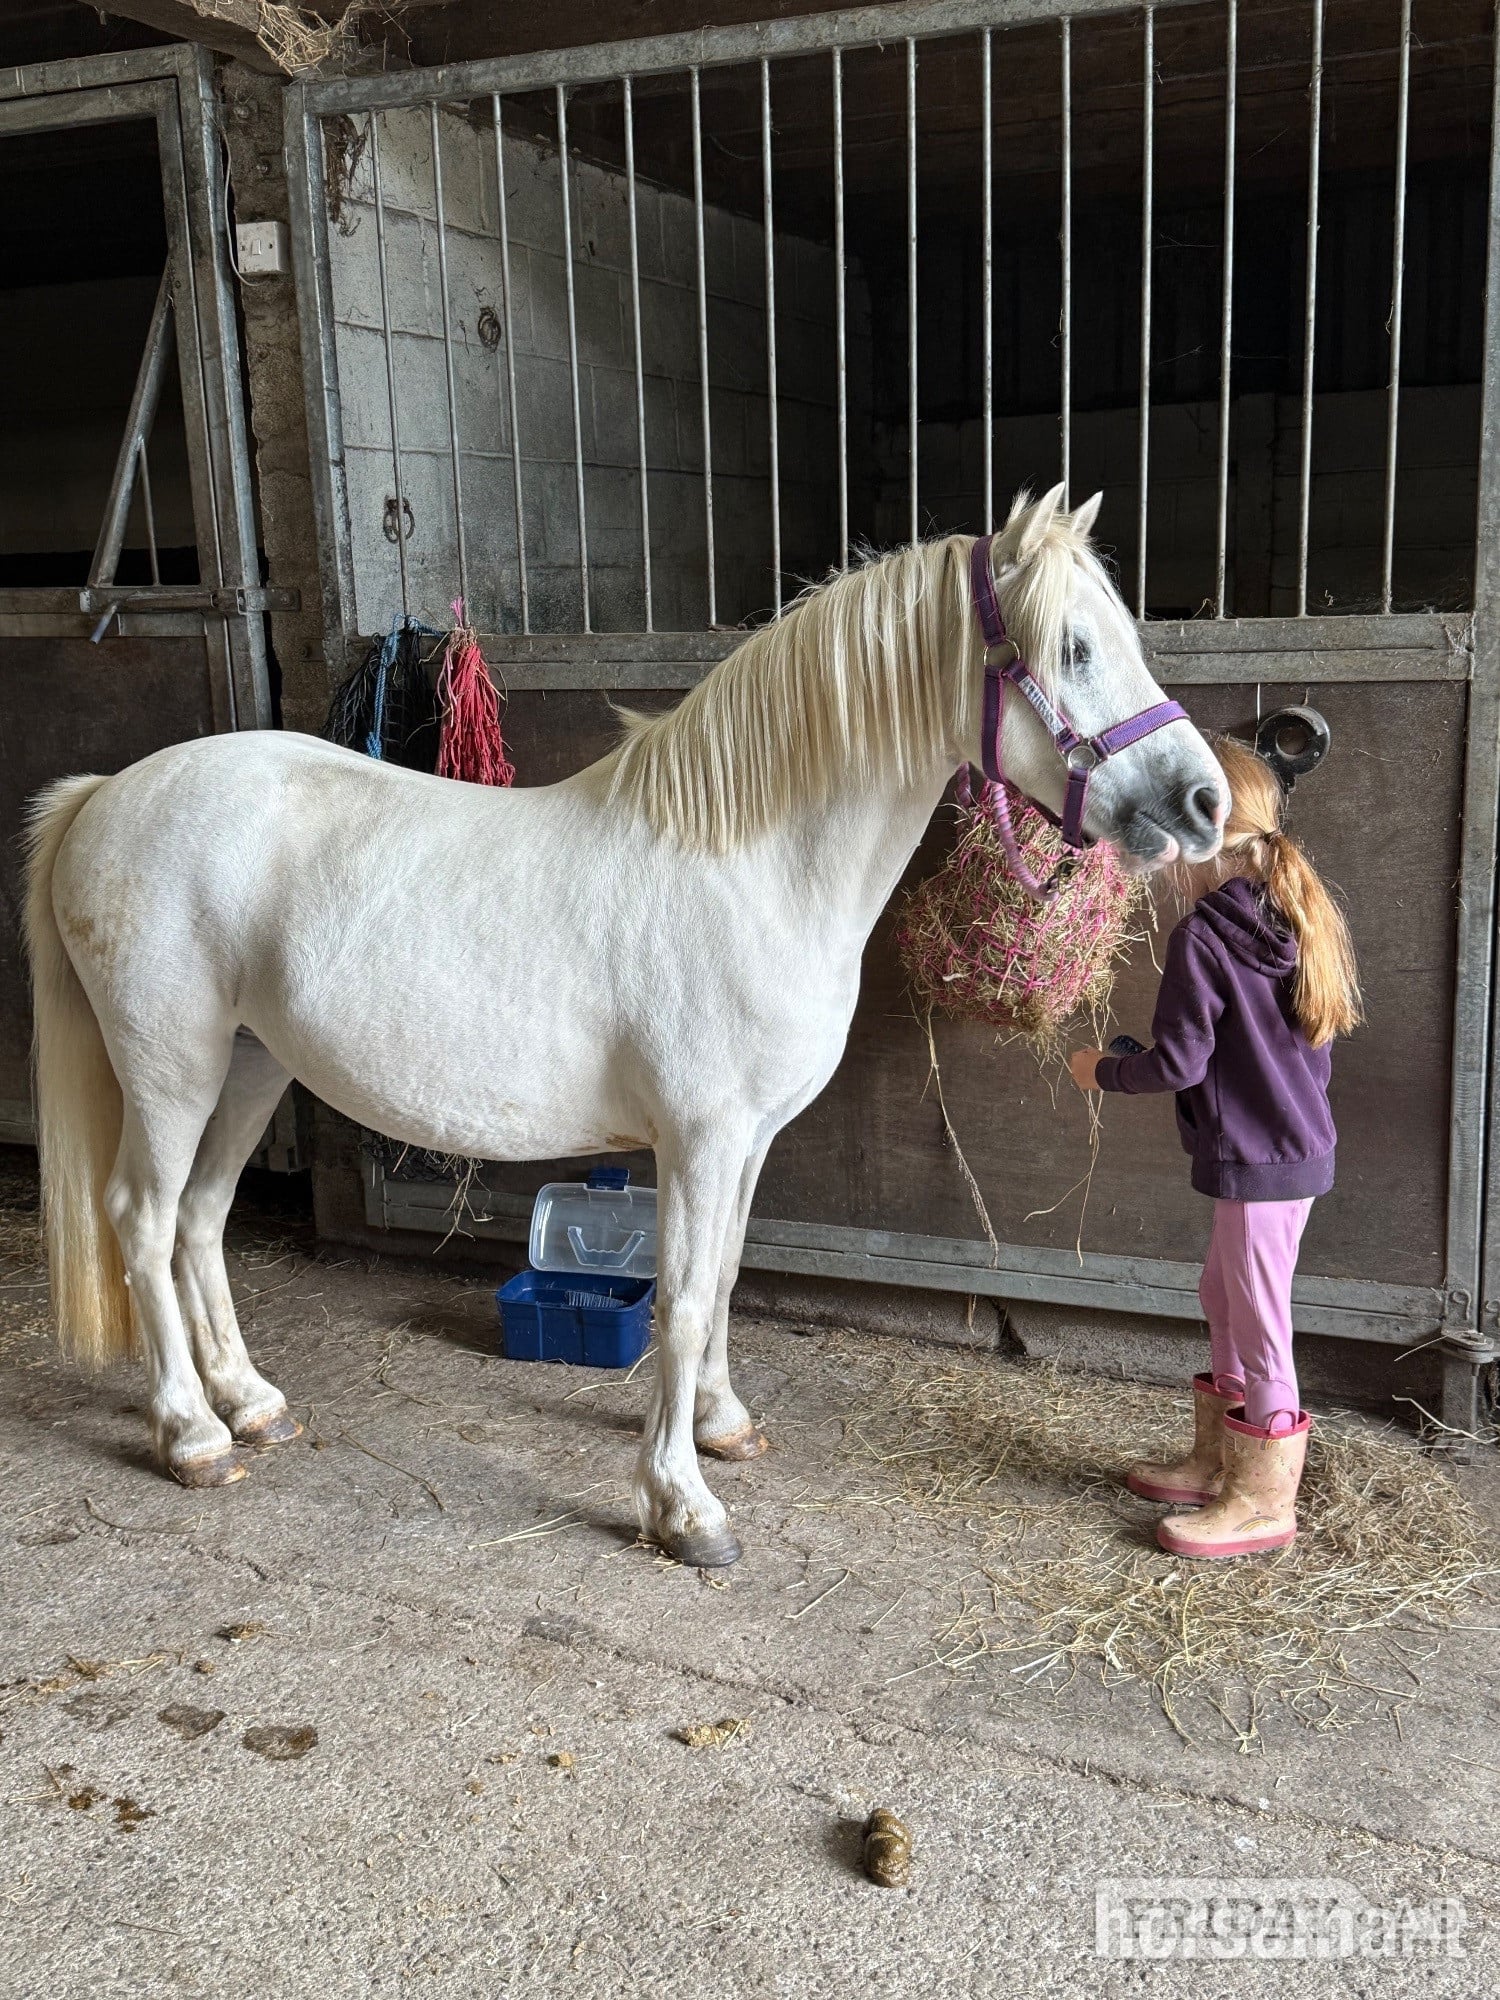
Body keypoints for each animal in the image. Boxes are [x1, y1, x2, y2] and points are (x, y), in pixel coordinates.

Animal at [23, 485, 1226, 1567]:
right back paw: (192, 1434)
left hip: (251, 1066)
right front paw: (682, 1506)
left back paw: (250, 1400)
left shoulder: (749, 1141)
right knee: (143, 1218)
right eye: (1073, 648)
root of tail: (102, 796)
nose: (1206, 804)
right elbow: (683, 1303)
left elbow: (728, 1275)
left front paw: (723, 1426)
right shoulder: (698, 1140)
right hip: (172, 1070)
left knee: (200, 1219)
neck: (751, 866)